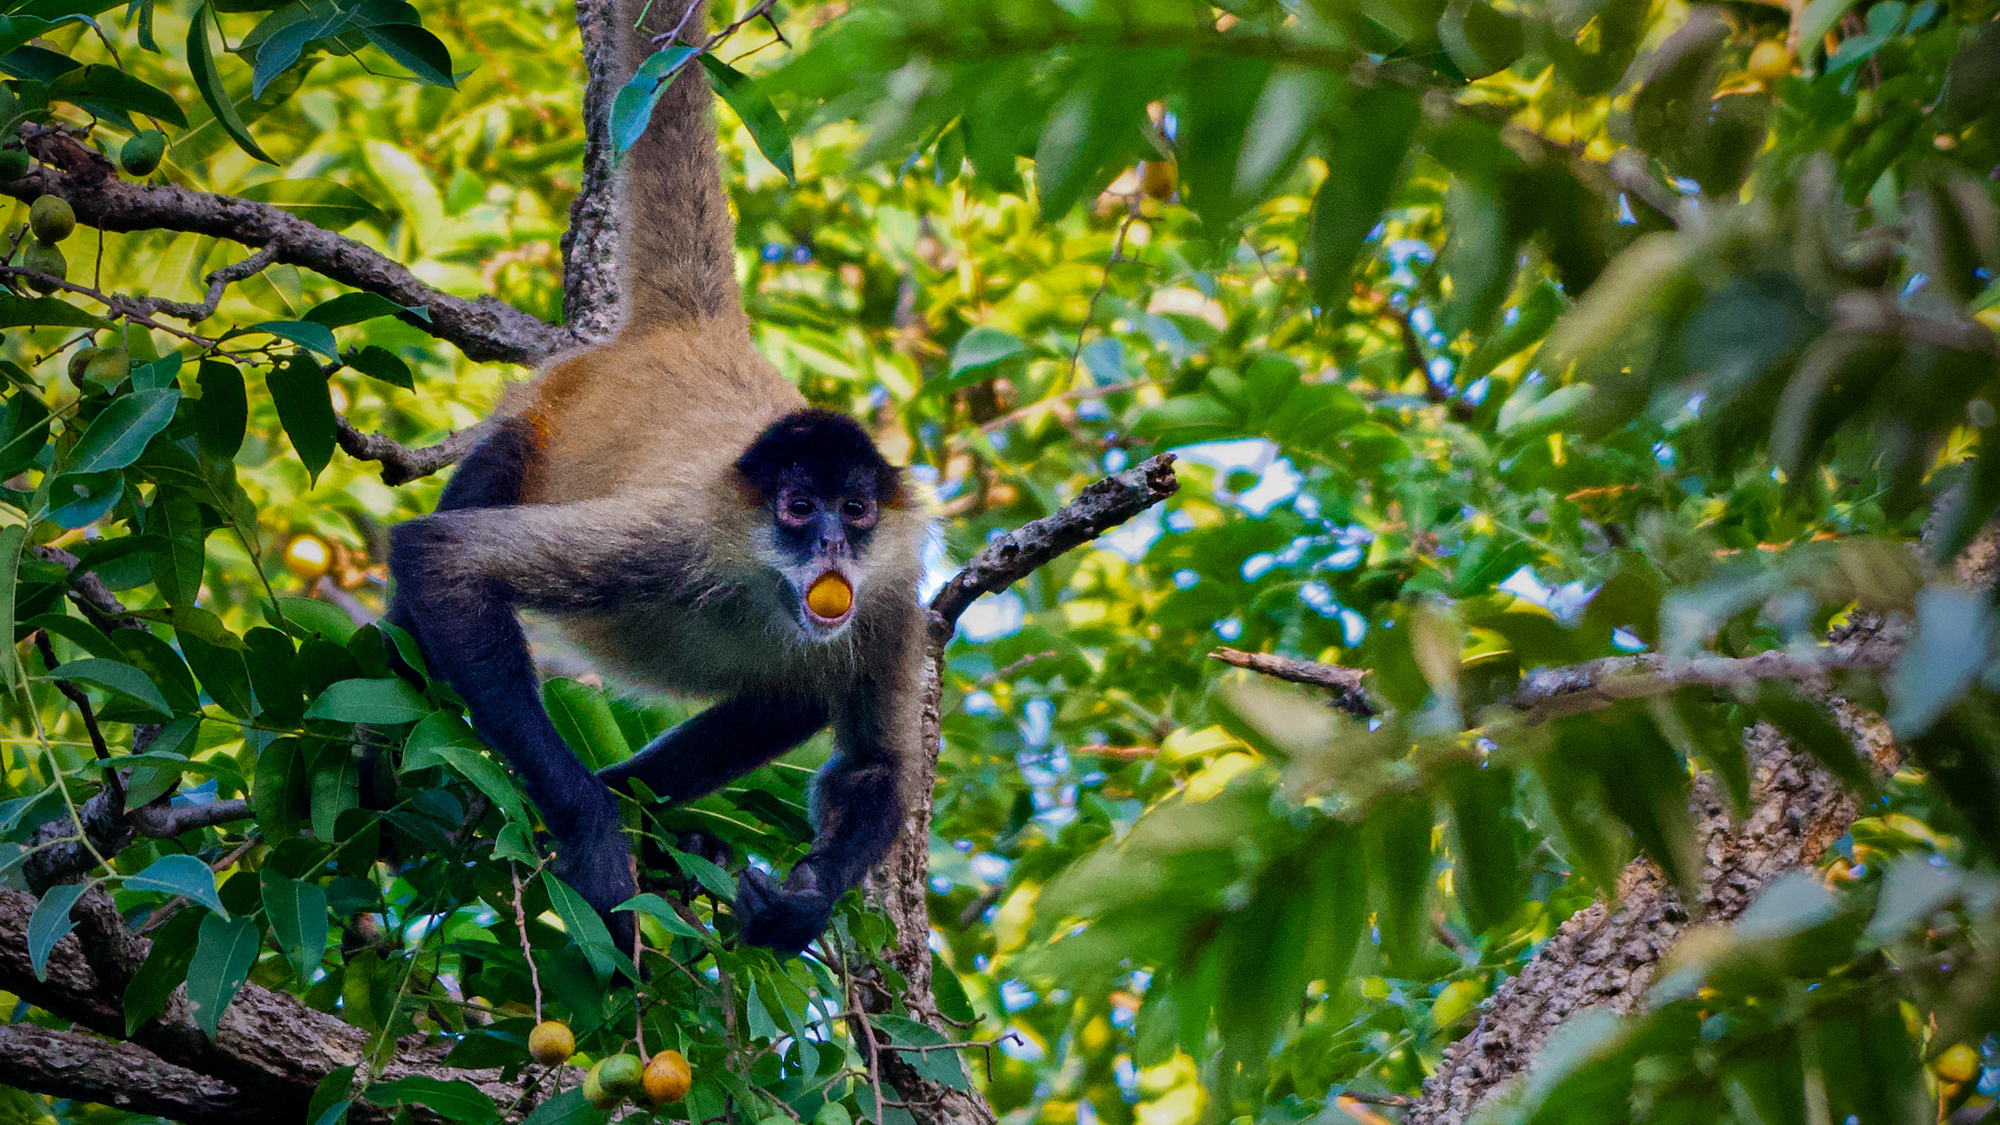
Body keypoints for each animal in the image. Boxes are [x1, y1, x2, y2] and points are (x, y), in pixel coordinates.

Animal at [384, 0, 928, 948]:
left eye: (856, 510)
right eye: (798, 507)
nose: (831, 541)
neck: (765, 588)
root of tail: (695, 334)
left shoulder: (893, 595)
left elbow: (872, 766)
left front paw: (803, 902)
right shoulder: (674, 535)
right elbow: (439, 559)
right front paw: (594, 827)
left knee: (795, 693)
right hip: (541, 418)